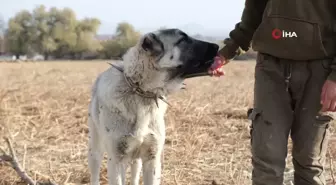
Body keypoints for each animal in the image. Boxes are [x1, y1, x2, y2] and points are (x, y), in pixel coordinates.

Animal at [87, 27, 218, 185]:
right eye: (182, 40)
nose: (217, 46)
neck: (140, 91)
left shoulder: (152, 159)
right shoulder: (116, 160)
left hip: (135, 159)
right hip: (95, 150)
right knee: (95, 171)